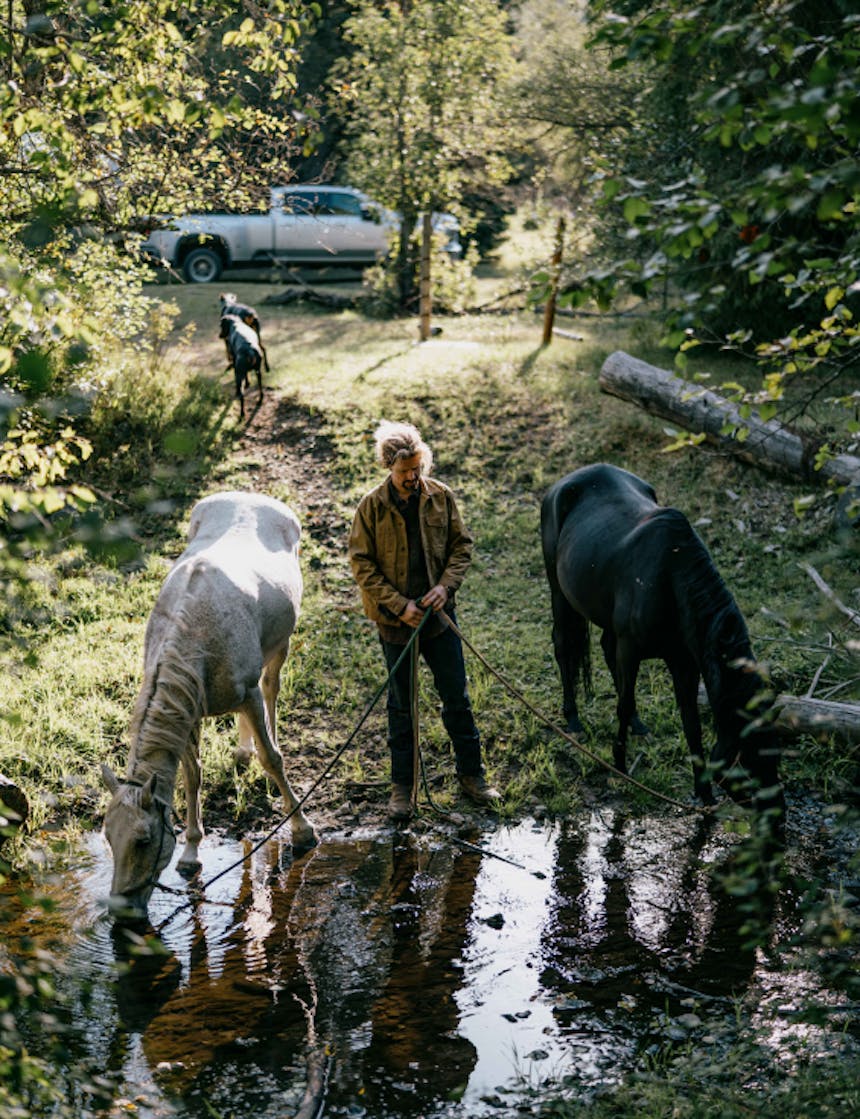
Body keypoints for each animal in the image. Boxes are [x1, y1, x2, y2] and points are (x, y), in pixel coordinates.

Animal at [101, 494, 315, 922]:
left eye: (143, 840)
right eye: (109, 838)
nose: (123, 914)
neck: (192, 637)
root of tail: (253, 496)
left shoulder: (246, 691)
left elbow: (273, 758)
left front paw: (303, 829)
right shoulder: (187, 710)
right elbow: (192, 777)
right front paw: (190, 853)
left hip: (280, 645)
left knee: (271, 688)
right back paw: (242, 751)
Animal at [541, 463, 782, 814]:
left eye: (775, 752)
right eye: (749, 756)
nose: (778, 815)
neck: (670, 580)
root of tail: (562, 483)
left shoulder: (684, 662)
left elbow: (691, 723)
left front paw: (704, 794)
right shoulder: (632, 649)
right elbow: (624, 703)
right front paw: (620, 765)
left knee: (606, 651)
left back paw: (637, 725)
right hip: (559, 592)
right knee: (563, 646)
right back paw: (572, 717)